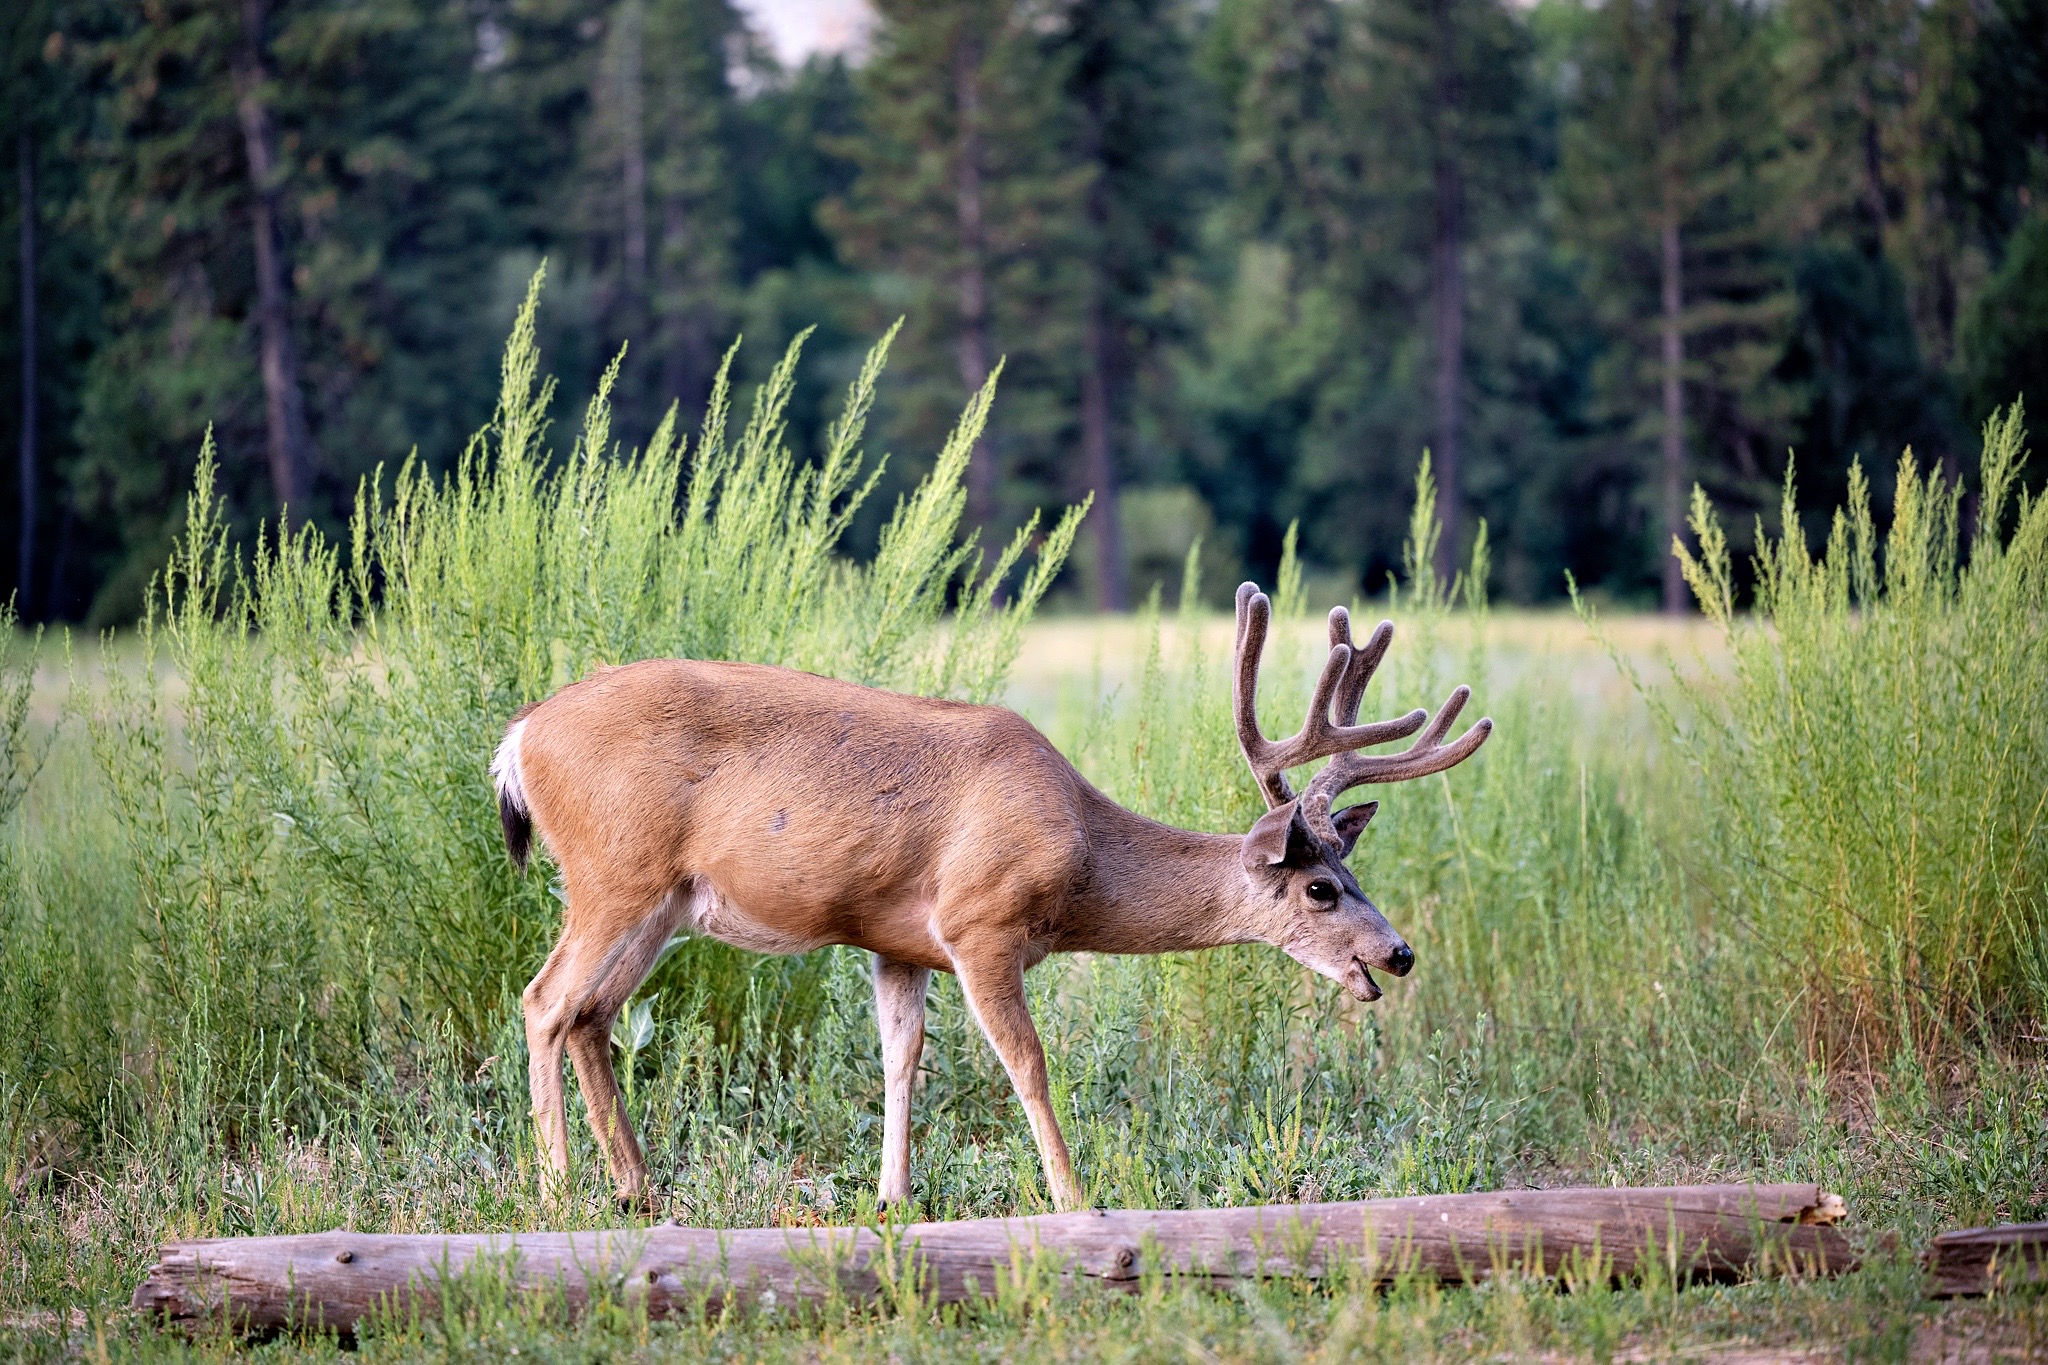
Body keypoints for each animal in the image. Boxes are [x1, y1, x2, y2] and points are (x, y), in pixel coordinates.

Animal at [491, 581, 1490, 1211]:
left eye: (1354, 877)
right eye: (1321, 888)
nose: (1398, 952)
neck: (1083, 852)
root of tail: (518, 737)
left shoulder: (897, 942)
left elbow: (900, 1059)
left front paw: (892, 1196)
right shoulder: (980, 922)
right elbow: (1029, 1062)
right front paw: (1074, 1195)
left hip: (661, 902)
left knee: (590, 1015)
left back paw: (639, 1187)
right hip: (614, 872)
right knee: (544, 1000)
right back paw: (560, 1190)